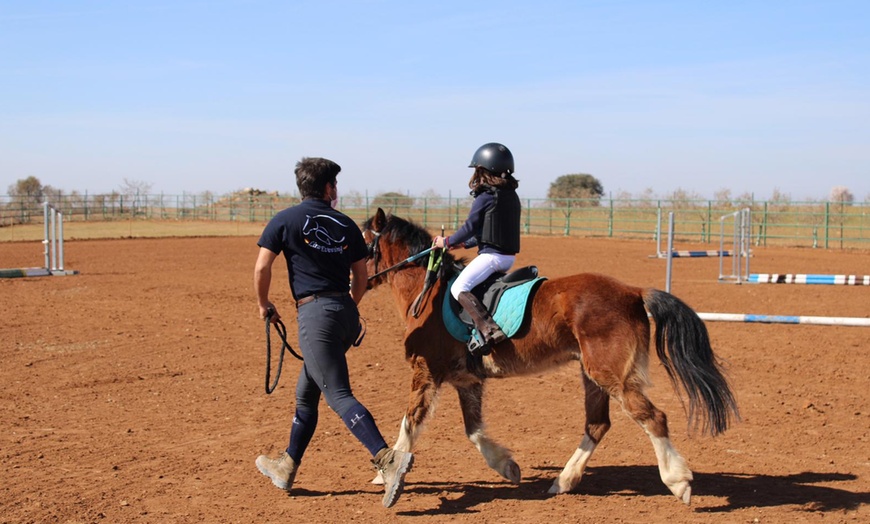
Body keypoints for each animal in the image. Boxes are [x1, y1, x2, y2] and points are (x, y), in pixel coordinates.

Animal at [364, 209, 740, 504]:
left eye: (362, 241)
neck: (428, 291)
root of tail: (633, 292)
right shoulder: (467, 381)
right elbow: (473, 430)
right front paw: (507, 466)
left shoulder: (426, 372)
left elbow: (410, 422)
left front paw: (387, 472)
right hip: (592, 375)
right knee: (597, 424)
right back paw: (563, 481)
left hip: (609, 374)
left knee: (652, 417)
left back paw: (678, 481)